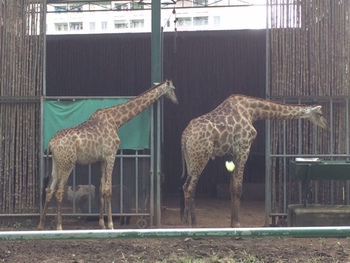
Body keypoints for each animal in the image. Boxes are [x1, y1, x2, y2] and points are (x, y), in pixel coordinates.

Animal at [38, 80, 178, 231]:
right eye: (173, 89)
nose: (176, 101)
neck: (116, 120)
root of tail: (51, 143)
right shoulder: (111, 155)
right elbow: (108, 189)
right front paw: (110, 225)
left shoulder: (102, 159)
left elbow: (101, 190)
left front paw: (101, 224)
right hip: (67, 163)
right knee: (59, 191)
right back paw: (58, 226)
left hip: (56, 163)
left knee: (49, 189)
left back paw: (41, 225)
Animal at [180, 95, 328, 229]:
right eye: (320, 113)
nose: (327, 126)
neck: (253, 112)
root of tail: (184, 136)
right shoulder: (244, 147)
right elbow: (238, 187)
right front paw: (237, 224)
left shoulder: (233, 154)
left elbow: (232, 186)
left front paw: (232, 224)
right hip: (201, 156)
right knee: (190, 187)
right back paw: (192, 225)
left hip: (190, 158)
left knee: (185, 186)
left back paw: (187, 222)